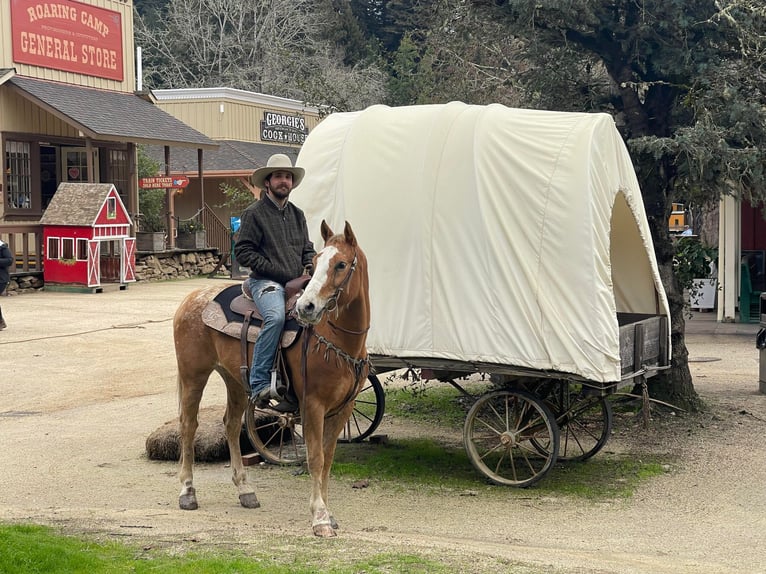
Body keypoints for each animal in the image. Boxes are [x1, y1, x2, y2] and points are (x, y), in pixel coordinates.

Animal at [173, 222, 368, 540]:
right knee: (189, 426)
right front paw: (320, 518)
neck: (337, 341)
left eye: (340, 264)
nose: (306, 307)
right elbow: (315, 458)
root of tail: (193, 297)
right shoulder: (312, 406)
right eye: (316, 262)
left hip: (236, 382)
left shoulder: (342, 410)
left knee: (230, 425)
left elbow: (328, 459)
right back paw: (188, 492)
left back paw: (245, 490)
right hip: (194, 376)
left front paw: (328, 513)